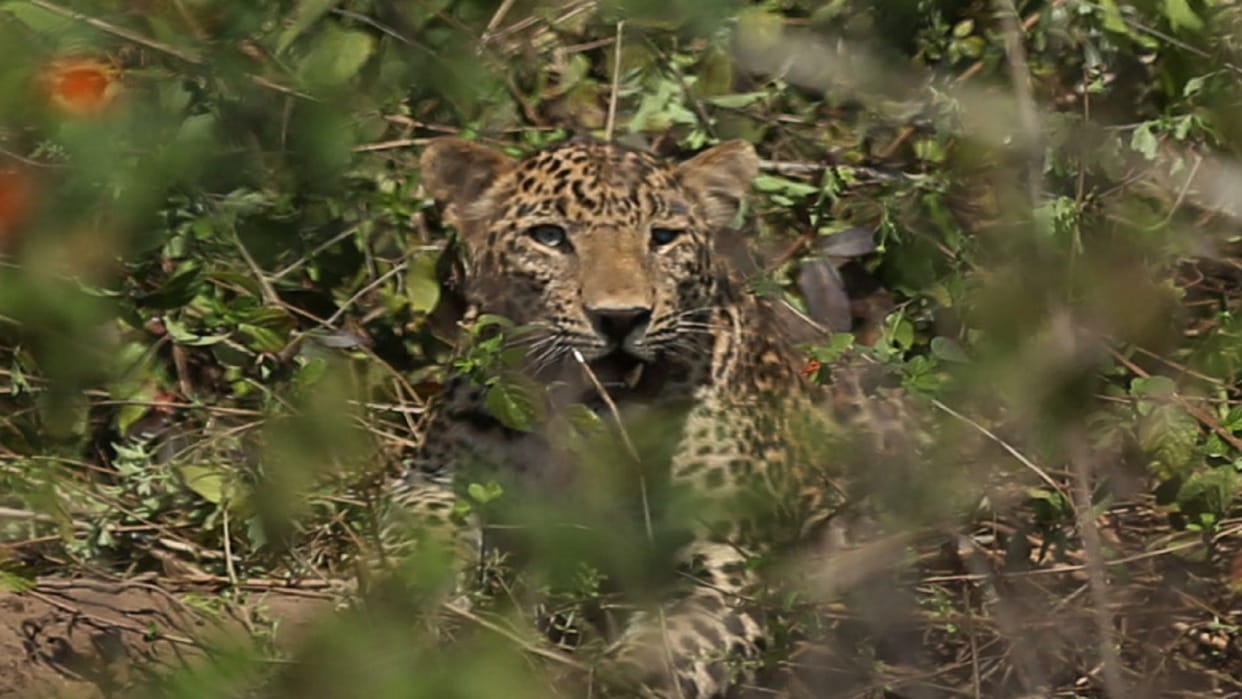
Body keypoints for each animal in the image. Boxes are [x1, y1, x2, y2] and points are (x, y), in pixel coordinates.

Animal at [376, 136, 880, 698]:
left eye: (662, 238)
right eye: (549, 236)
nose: (620, 318)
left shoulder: (722, 562)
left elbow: (669, 653)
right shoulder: (436, 478)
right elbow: (425, 534)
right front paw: (431, 613)